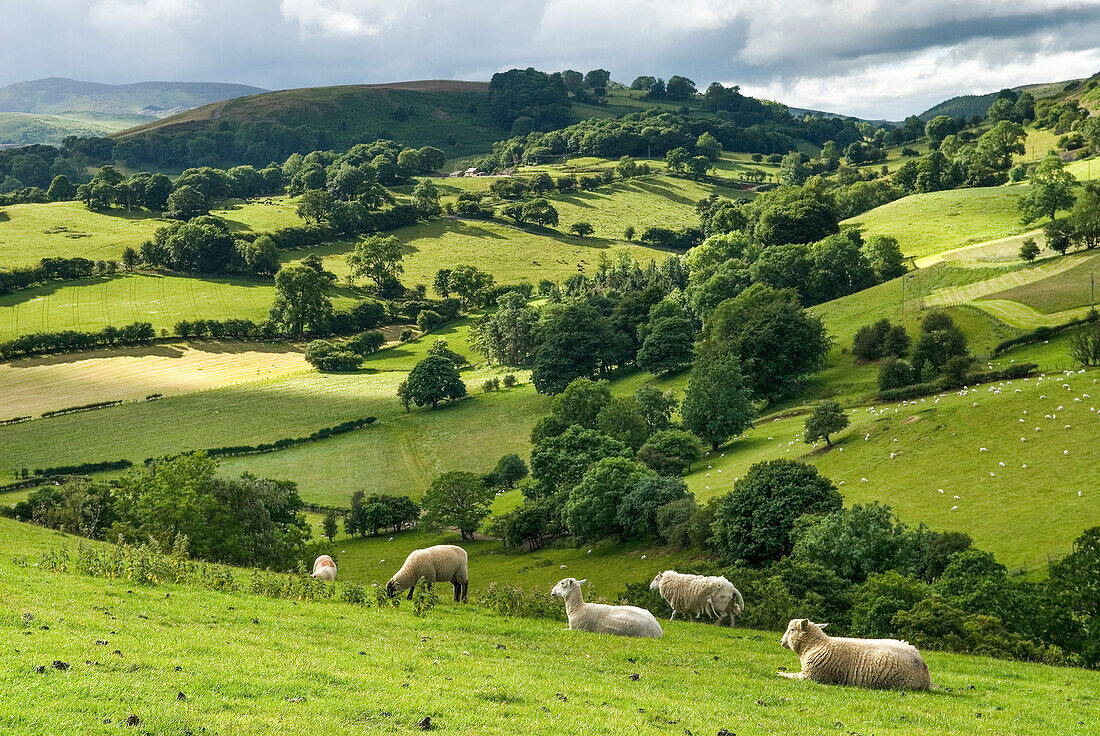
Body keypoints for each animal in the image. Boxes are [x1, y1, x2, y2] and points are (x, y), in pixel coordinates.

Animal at [778, 620, 932, 690]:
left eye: (791, 630)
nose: (781, 641)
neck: (815, 645)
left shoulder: (811, 676)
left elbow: (791, 676)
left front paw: (779, 673)